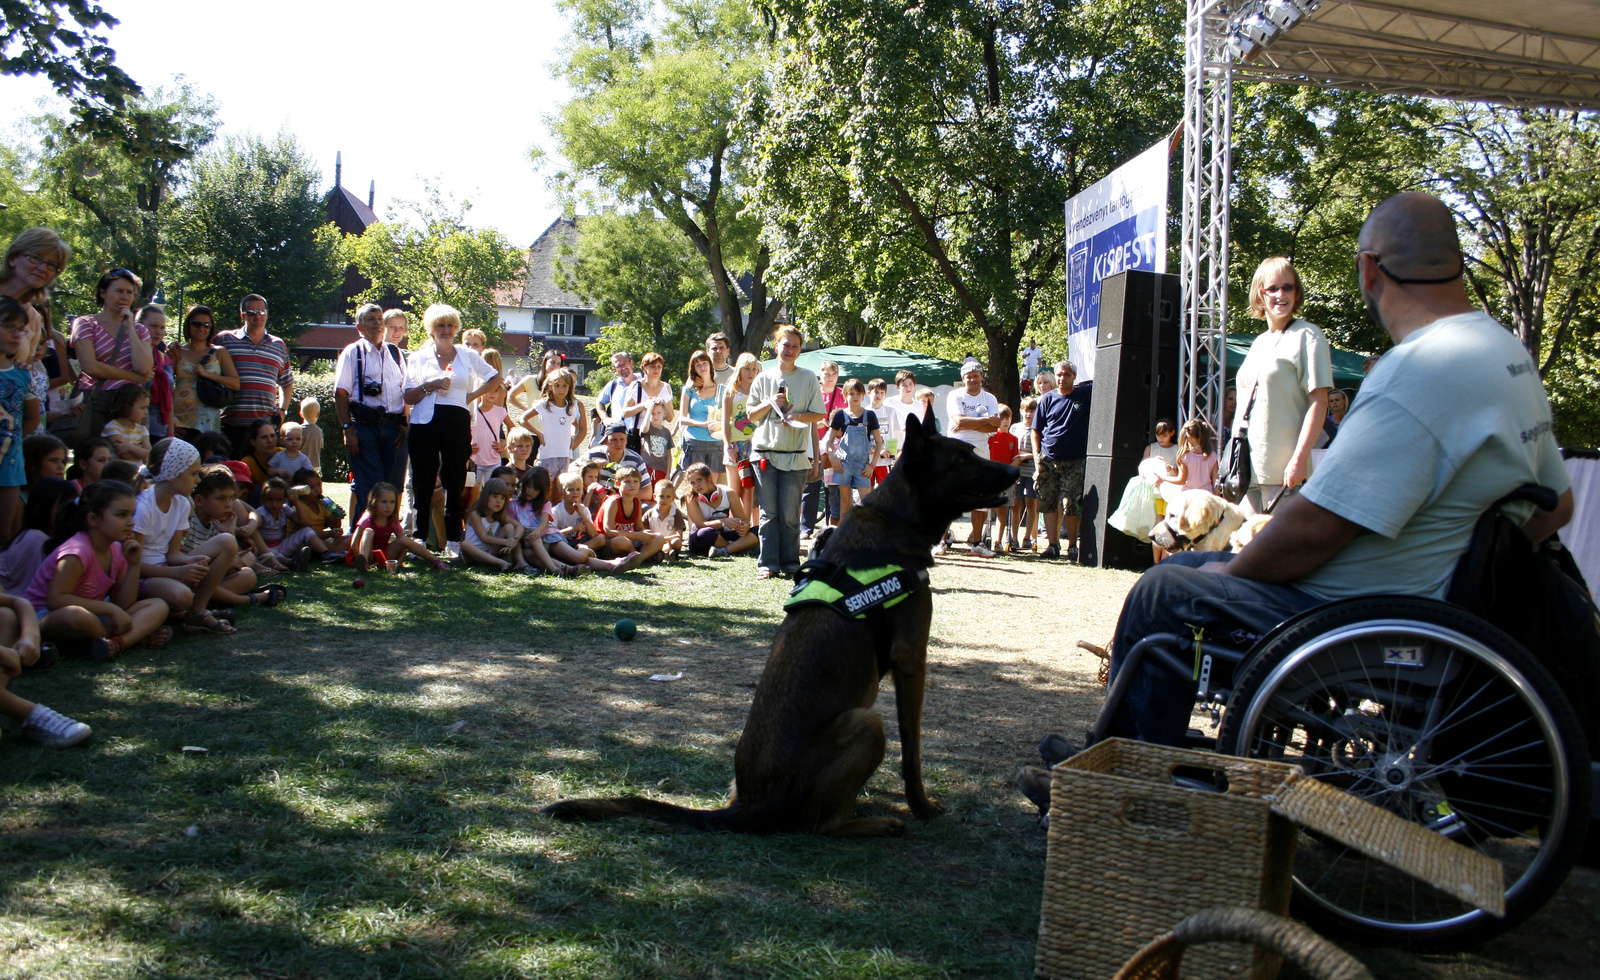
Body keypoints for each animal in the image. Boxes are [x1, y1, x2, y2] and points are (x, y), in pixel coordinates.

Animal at [540, 409, 1011, 839]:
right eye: (962, 458)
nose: (1014, 468)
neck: (896, 518)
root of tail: (747, 806)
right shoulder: (912, 660)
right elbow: (912, 752)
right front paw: (922, 807)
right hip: (867, 724)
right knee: (820, 825)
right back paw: (878, 822)